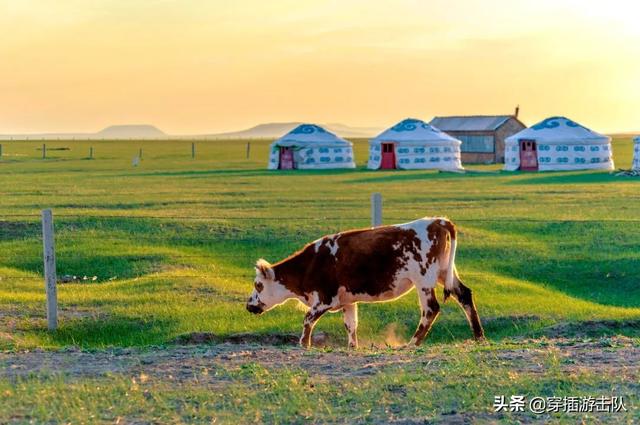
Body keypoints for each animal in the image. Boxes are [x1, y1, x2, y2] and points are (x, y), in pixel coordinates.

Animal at [246, 217, 484, 346]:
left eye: (258, 285)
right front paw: (353, 347)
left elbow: (307, 320)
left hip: (424, 280)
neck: (311, 263)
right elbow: (351, 325)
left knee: (431, 309)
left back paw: (412, 344)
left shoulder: (324, 299)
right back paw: (479, 338)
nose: (249, 305)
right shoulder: (348, 302)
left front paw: (304, 344)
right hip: (445, 273)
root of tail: (438, 221)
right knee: (464, 295)